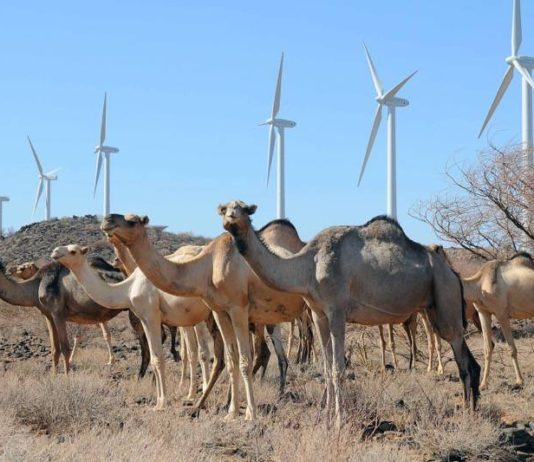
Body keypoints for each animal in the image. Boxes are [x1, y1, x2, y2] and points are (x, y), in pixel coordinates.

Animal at [101, 211, 310, 420]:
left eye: (132, 221)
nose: (107, 221)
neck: (206, 267)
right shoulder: (219, 311)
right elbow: (231, 359)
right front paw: (231, 412)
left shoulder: (237, 308)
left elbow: (241, 359)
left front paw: (250, 413)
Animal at [218, 200, 482, 424]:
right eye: (224, 209)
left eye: (242, 208)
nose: (230, 219)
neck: (308, 266)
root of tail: (454, 274)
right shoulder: (318, 313)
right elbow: (327, 367)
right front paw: (325, 416)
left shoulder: (337, 311)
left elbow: (338, 368)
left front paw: (338, 420)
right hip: (436, 308)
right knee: (469, 360)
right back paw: (474, 409)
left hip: (445, 295)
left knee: (461, 360)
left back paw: (467, 415)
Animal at [462, 253, 534, 390]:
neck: (479, 285)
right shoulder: (483, 313)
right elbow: (488, 348)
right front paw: (483, 384)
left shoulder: (502, 314)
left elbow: (511, 349)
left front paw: (519, 381)